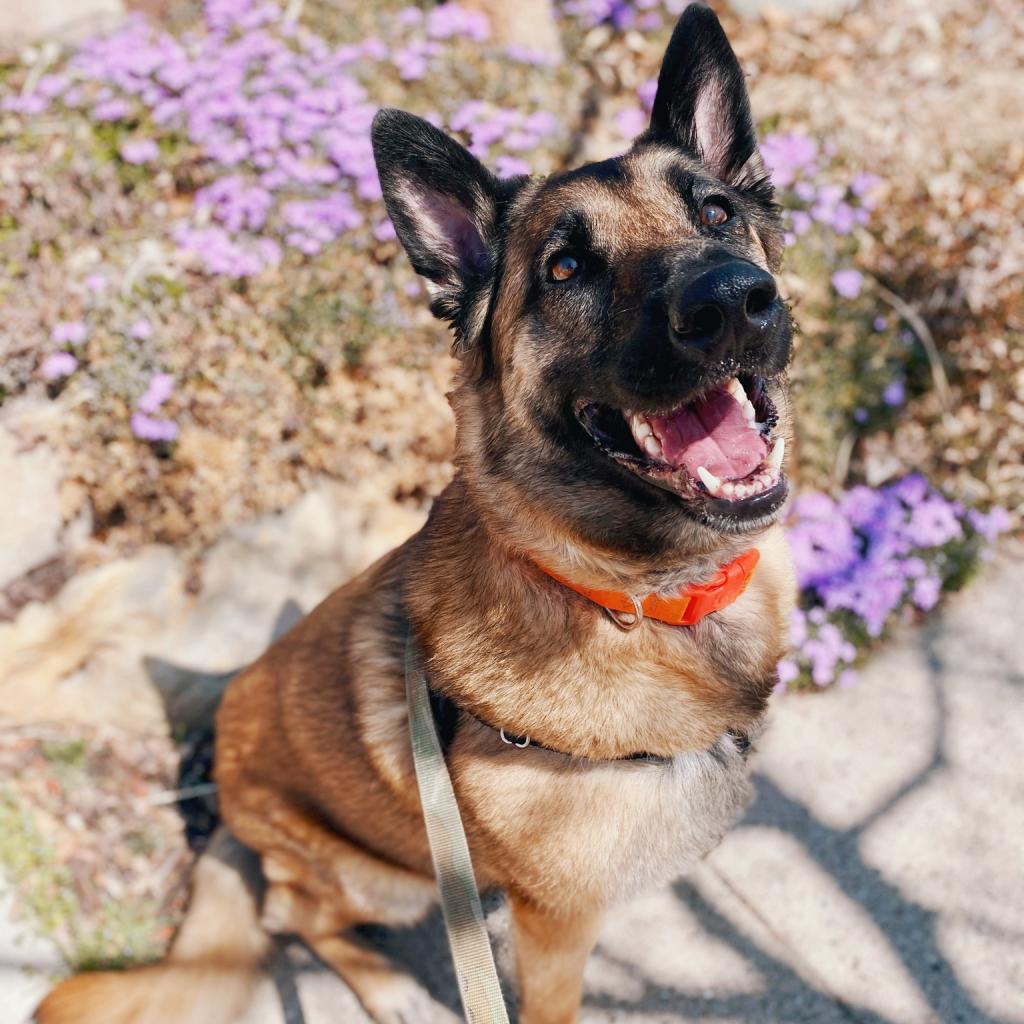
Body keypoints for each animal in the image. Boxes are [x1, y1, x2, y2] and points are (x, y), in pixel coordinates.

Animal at [37, 8, 790, 1024]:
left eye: (715, 213)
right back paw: (388, 987)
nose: (732, 301)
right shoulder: (554, 928)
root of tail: (222, 789)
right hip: (385, 878)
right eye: (565, 268)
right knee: (291, 916)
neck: (629, 598)